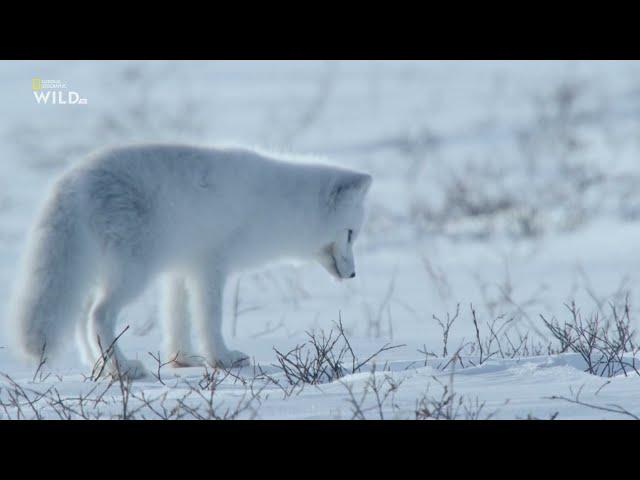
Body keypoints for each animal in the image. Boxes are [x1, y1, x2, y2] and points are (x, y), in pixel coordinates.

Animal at [5, 143, 372, 378]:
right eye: (351, 233)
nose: (355, 274)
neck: (278, 204)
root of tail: (71, 181)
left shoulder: (181, 270)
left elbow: (176, 319)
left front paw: (183, 360)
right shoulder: (210, 268)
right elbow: (209, 319)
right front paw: (222, 359)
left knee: (82, 316)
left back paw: (101, 367)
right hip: (133, 273)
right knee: (98, 315)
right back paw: (124, 370)